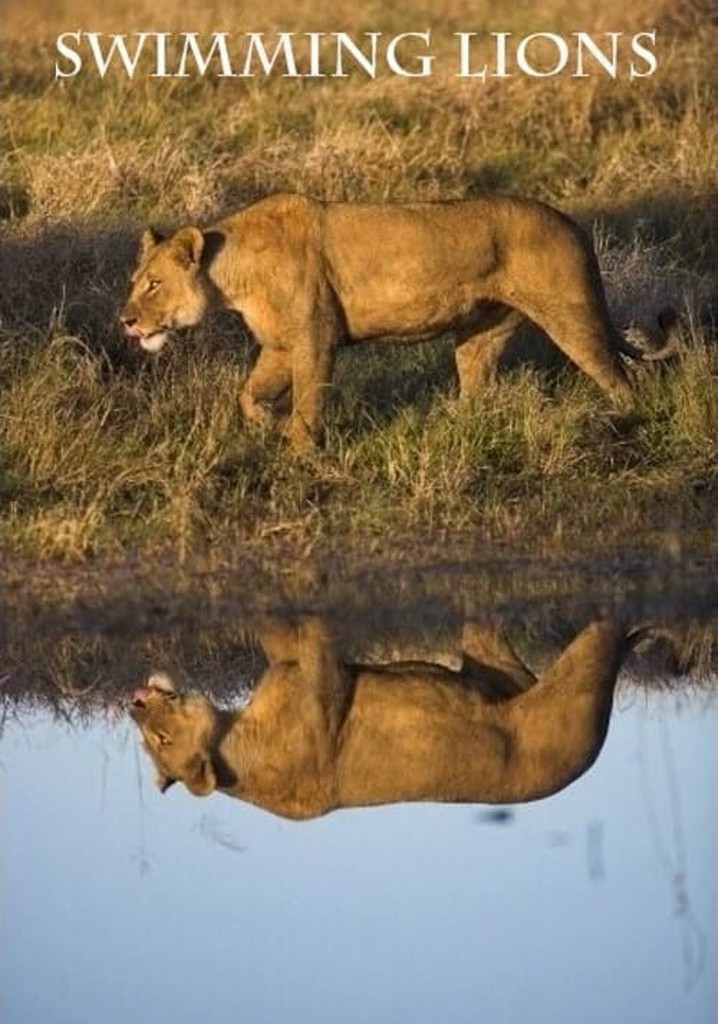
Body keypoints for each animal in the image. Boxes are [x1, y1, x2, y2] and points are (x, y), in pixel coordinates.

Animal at [120, 193, 677, 453]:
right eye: (135, 281)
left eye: (154, 285)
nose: (125, 321)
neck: (230, 274)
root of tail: (572, 223)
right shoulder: (280, 345)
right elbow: (248, 396)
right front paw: (277, 428)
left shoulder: (315, 340)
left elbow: (308, 400)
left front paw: (300, 451)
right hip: (480, 334)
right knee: (476, 389)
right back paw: (456, 431)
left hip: (572, 317)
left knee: (619, 379)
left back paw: (626, 425)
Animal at [128, 615, 653, 821]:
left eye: (157, 740)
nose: (133, 705)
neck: (235, 738)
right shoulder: (327, 684)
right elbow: (314, 636)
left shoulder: (300, 669)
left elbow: (277, 632)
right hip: (575, 683)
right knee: (606, 631)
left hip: (498, 668)